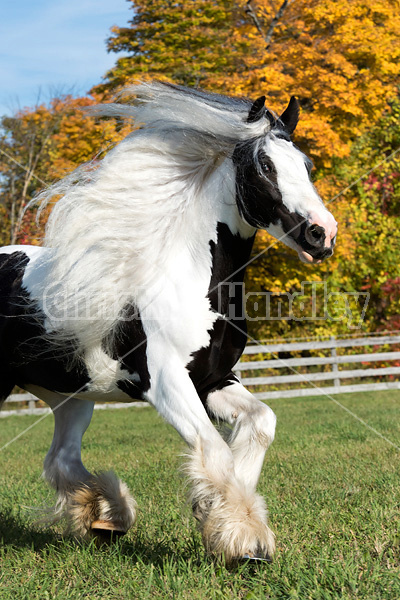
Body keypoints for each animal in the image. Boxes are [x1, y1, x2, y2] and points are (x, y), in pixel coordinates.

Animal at [0, 82, 338, 564]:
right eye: (265, 165)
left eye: (306, 165)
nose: (322, 234)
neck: (190, 280)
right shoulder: (166, 382)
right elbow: (213, 448)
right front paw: (243, 540)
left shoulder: (214, 379)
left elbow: (260, 425)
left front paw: (221, 518)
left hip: (70, 396)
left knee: (61, 459)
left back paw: (106, 518)